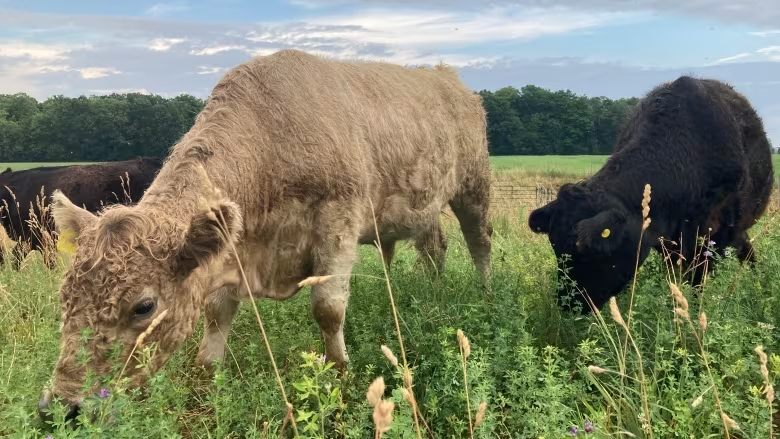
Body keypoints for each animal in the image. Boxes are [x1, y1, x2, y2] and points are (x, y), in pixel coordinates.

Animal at [39, 49, 490, 422]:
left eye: (143, 306)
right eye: (64, 297)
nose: (61, 407)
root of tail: (445, 76)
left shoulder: (338, 224)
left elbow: (328, 310)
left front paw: (338, 374)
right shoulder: (228, 249)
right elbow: (216, 313)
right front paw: (208, 376)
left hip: (474, 184)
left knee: (479, 240)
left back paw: (484, 291)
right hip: (425, 204)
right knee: (435, 246)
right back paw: (434, 290)